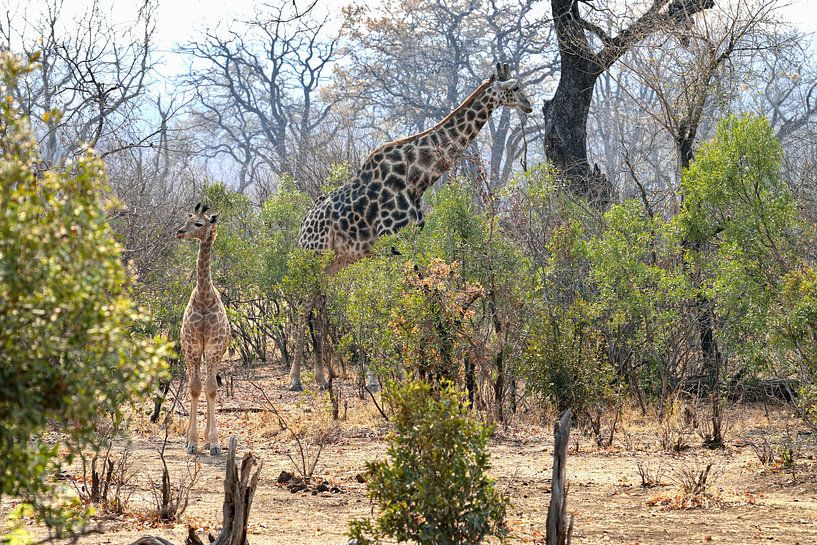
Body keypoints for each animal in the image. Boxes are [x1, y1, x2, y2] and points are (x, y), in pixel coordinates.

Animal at [290, 63, 533, 391]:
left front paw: (405, 371)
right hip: (314, 255)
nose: (529, 106)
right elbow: (387, 300)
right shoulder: (389, 248)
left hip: (335, 261)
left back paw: (321, 376)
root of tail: (304, 224)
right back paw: (296, 379)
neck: (417, 177)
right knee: (305, 304)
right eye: (515, 87)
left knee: (318, 305)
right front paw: (379, 378)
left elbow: (408, 299)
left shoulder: (408, 246)